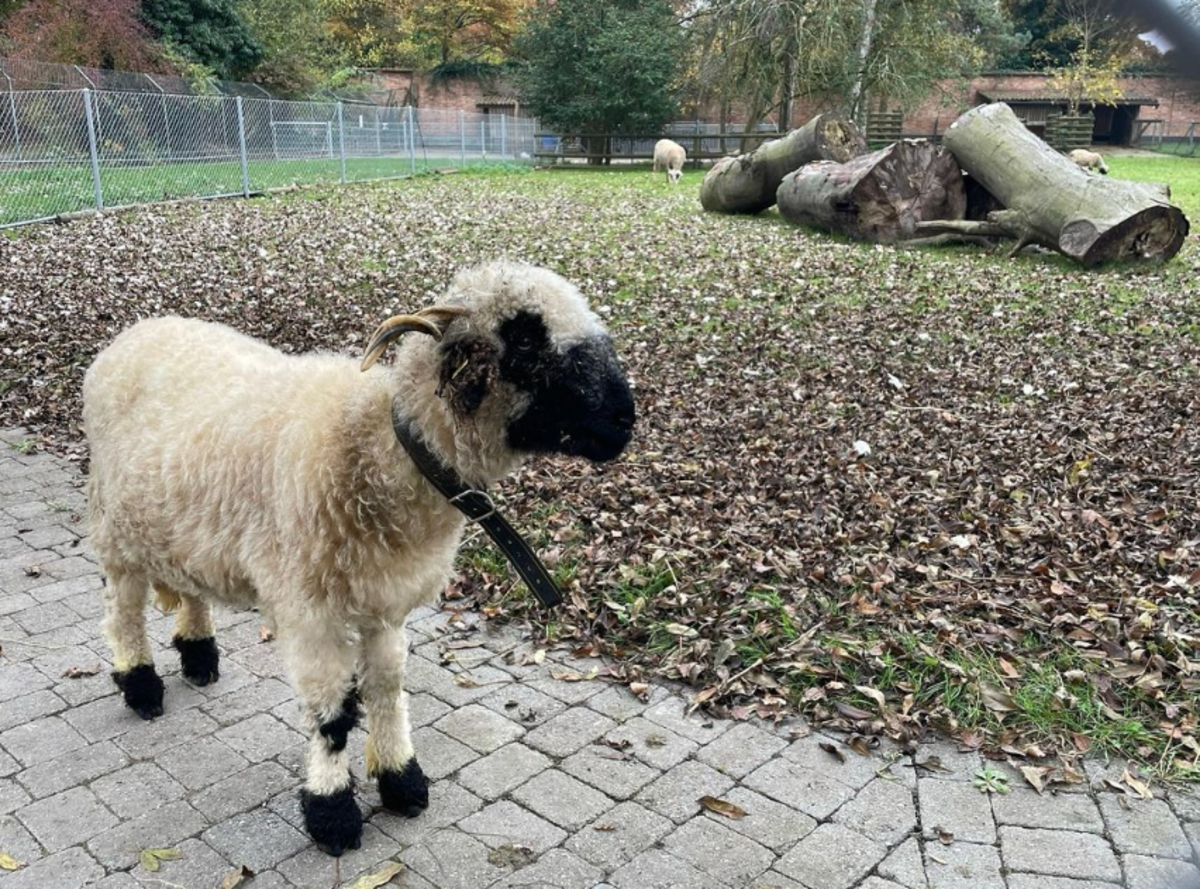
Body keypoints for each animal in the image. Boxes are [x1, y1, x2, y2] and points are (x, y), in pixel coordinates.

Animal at [83, 261, 638, 854]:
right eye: (525, 339)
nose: (624, 419)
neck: (377, 446)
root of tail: (134, 333)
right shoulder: (310, 612)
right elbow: (330, 716)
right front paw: (333, 812)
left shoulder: (383, 605)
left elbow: (387, 690)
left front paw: (401, 781)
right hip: (115, 530)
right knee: (123, 612)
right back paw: (141, 685)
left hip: (174, 524)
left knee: (186, 583)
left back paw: (198, 654)